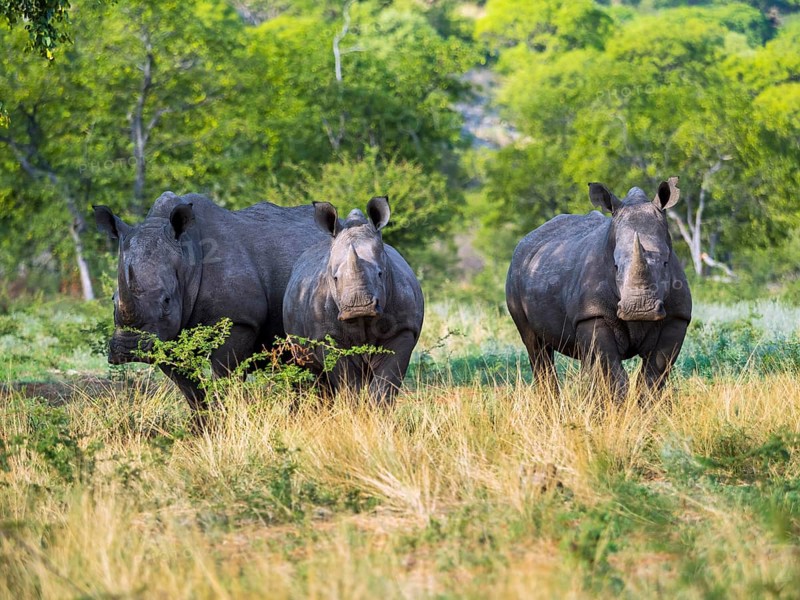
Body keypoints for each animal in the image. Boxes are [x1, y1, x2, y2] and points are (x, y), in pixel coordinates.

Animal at [94, 192, 327, 416]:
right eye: (113, 299)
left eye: (167, 300)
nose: (128, 349)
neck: (187, 259)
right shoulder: (166, 335)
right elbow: (191, 391)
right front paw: (202, 425)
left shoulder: (238, 321)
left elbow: (225, 379)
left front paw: (226, 420)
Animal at [282, 197, 424, 401]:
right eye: (334, 278)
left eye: (380, 273)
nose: (358, 307)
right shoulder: (327, 337)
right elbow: (347, 382)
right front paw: (355, 407)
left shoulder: (403, 329)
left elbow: (387, 382)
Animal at [506, 177, 692, 398]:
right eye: (615, 266)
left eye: (665, 262)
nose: (640, 309)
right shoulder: (592, 313)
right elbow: (612, 374)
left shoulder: (677, 317)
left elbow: (653, 376)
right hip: (515, 273)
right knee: (536, 347)